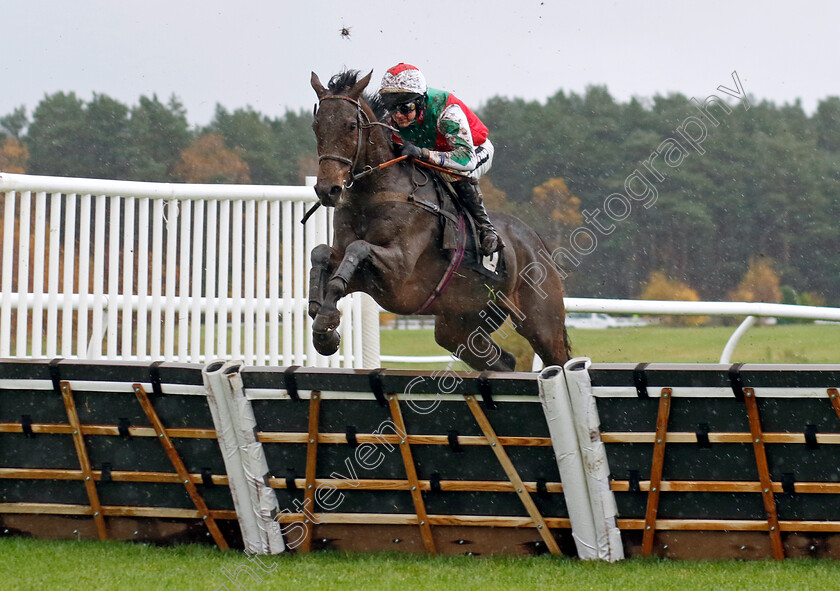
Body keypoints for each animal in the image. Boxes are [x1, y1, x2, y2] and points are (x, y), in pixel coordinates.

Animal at [306, 71, 568, 372]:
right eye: (316, 126)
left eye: (350, 126)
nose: (328, 190)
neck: (375, 192)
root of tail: (537, 242)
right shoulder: (362, 272)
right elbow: (321, 254)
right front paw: (323, 325)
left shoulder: (397, 271)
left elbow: (357, 249)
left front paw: (327, 320)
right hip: (458, 325)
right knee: (503, 361)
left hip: (542, 323)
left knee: (560, 360)